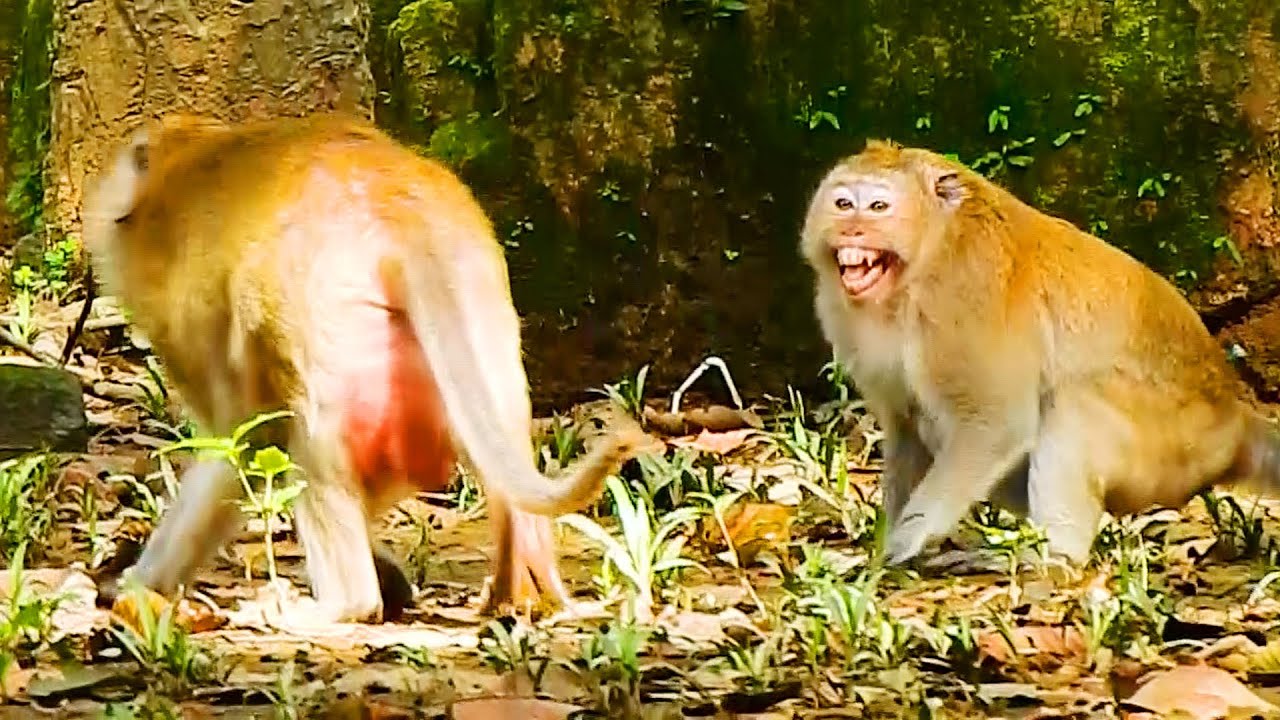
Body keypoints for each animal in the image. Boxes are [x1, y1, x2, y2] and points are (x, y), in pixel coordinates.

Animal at [80, 113, 646, 626]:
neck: (180, 164)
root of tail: (399, 198)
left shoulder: (186, 312)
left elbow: (237, 441)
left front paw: (136, 583)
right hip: (479, 306)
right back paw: (523, 589)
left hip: (325, 322)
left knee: (308, 438)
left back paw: (336, 606)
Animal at [799, 139, 1280, 568]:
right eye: (843, 202)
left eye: (877, 206)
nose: (852, 227)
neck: (921, 263)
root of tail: (1233, 417)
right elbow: (906, 429)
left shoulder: (962, 300)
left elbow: (996, 421)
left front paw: (905, 541)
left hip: (1172, 448)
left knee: (1071, 407)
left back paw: (1054, 558)